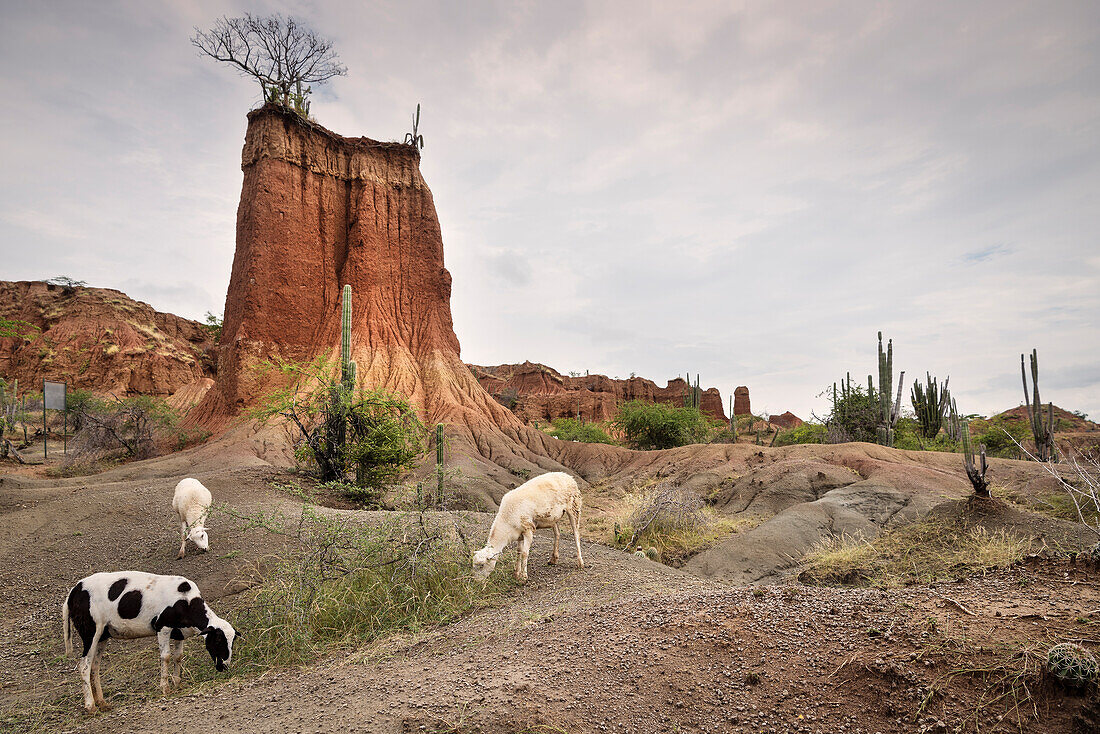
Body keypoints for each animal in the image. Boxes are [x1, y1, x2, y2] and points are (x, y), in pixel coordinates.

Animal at [62, 572, 238, 713]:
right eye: (218, 639)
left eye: (232, 642)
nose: (224, 667)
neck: (187, 601)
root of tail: (73, 592)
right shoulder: (163, 627)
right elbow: (166, 657)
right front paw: (165, 688)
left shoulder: (179, 633)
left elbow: (178, 656)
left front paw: (177, 683)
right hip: (90, 632)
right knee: (84, 666)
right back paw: (90, 706)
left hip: (103, 636)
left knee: (95, 667)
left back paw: (102, 703)